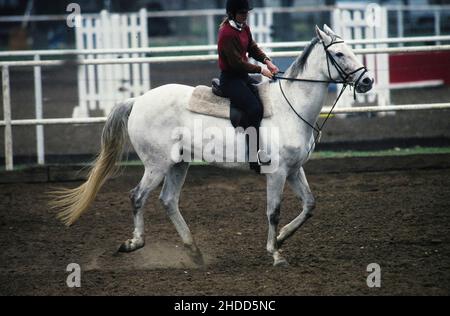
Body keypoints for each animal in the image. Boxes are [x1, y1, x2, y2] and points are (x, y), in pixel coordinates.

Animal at [51, 25, 372, 266]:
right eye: (339, 53)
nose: (367, 81)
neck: (289, 107)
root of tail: (138, 100)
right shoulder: (278, 173)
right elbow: (273, 211)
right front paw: (276, 253)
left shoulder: (294, 171)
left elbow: (309, 205)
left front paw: (281, 238)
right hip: (157, 165)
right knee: (137, 196)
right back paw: (134, 243)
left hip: (179, 164)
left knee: (168, 200)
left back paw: (194, 251)